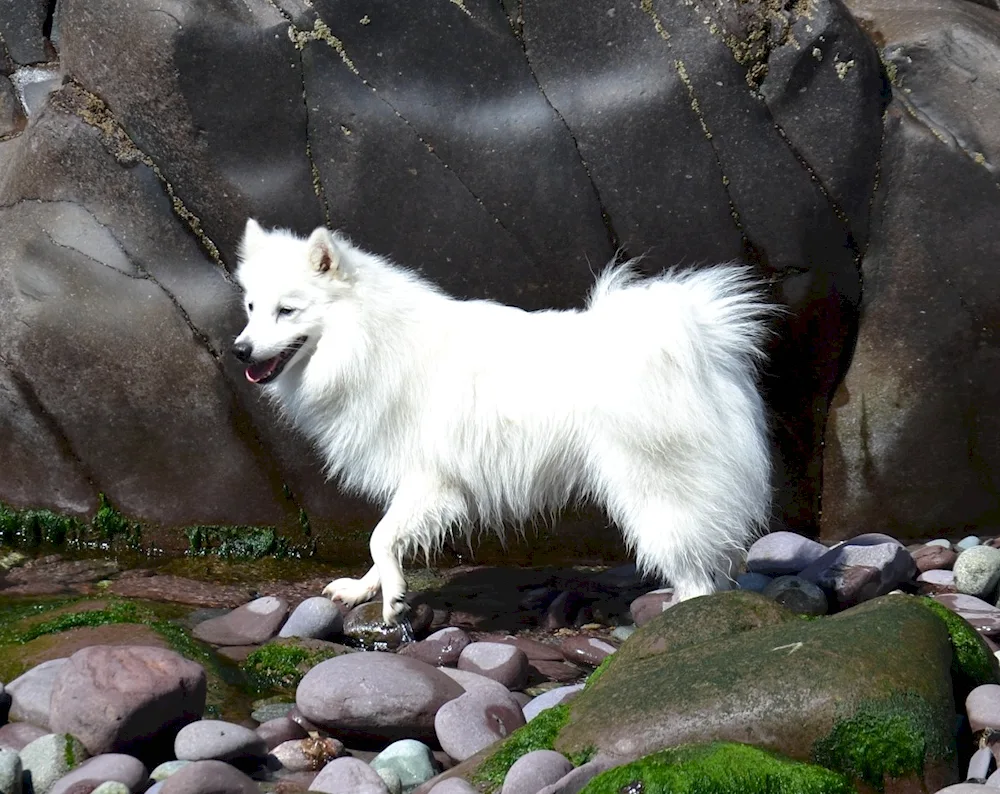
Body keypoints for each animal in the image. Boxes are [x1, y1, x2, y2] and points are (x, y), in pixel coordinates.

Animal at [232, 220, 772, 620]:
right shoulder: (414, 481)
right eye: (251, 307)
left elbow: (380, 536)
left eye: (287, 311)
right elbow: (383, 540)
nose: (239, 350)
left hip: (655, 494)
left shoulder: (432, 479)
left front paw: (393, 599)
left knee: (695, 575)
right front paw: (368, 588)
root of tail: (702, 343)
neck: (367, 339)